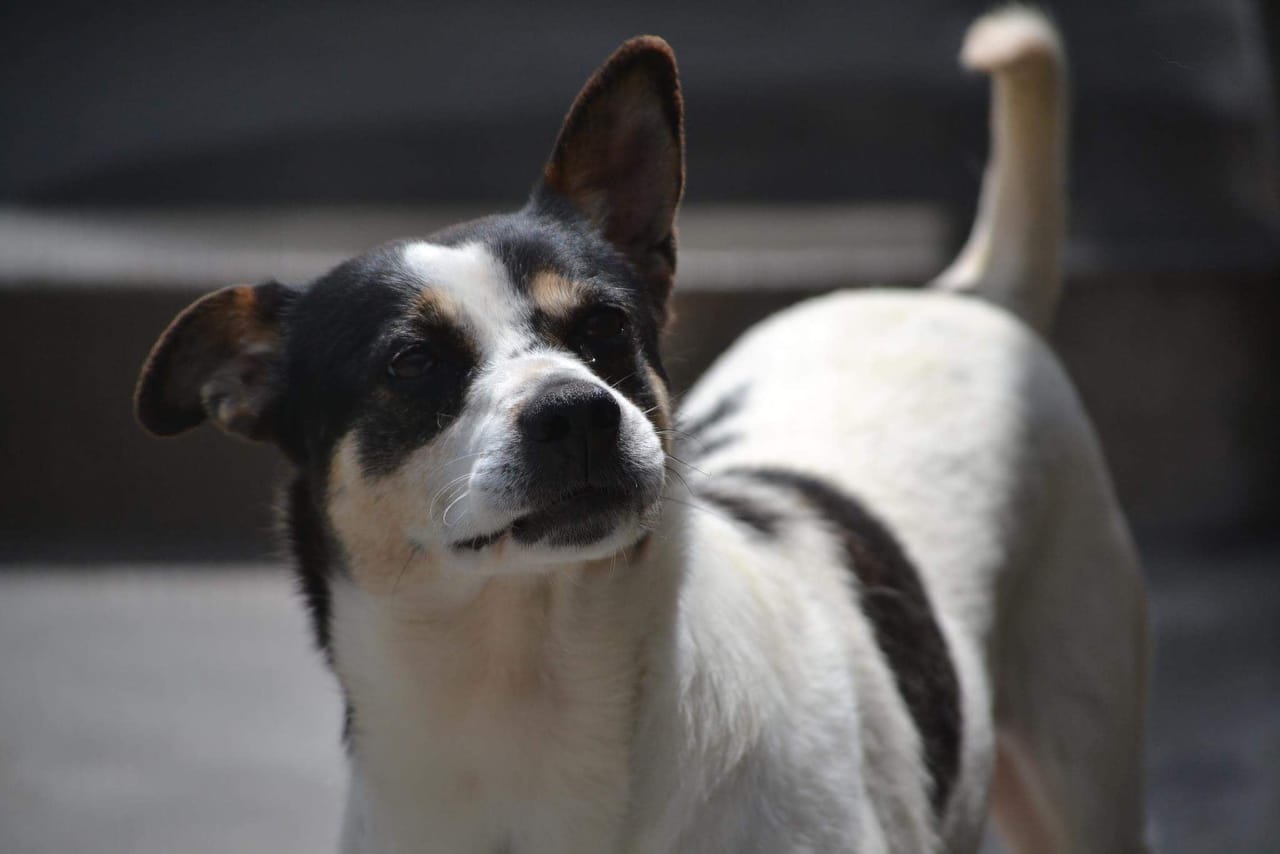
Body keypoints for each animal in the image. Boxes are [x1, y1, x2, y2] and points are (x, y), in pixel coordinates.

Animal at [134, 7, 1148, 852]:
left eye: (604, 327)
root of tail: (963, 293)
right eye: (411, 362)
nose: (577, 412)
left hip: (1080, 766)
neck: (526, 702)